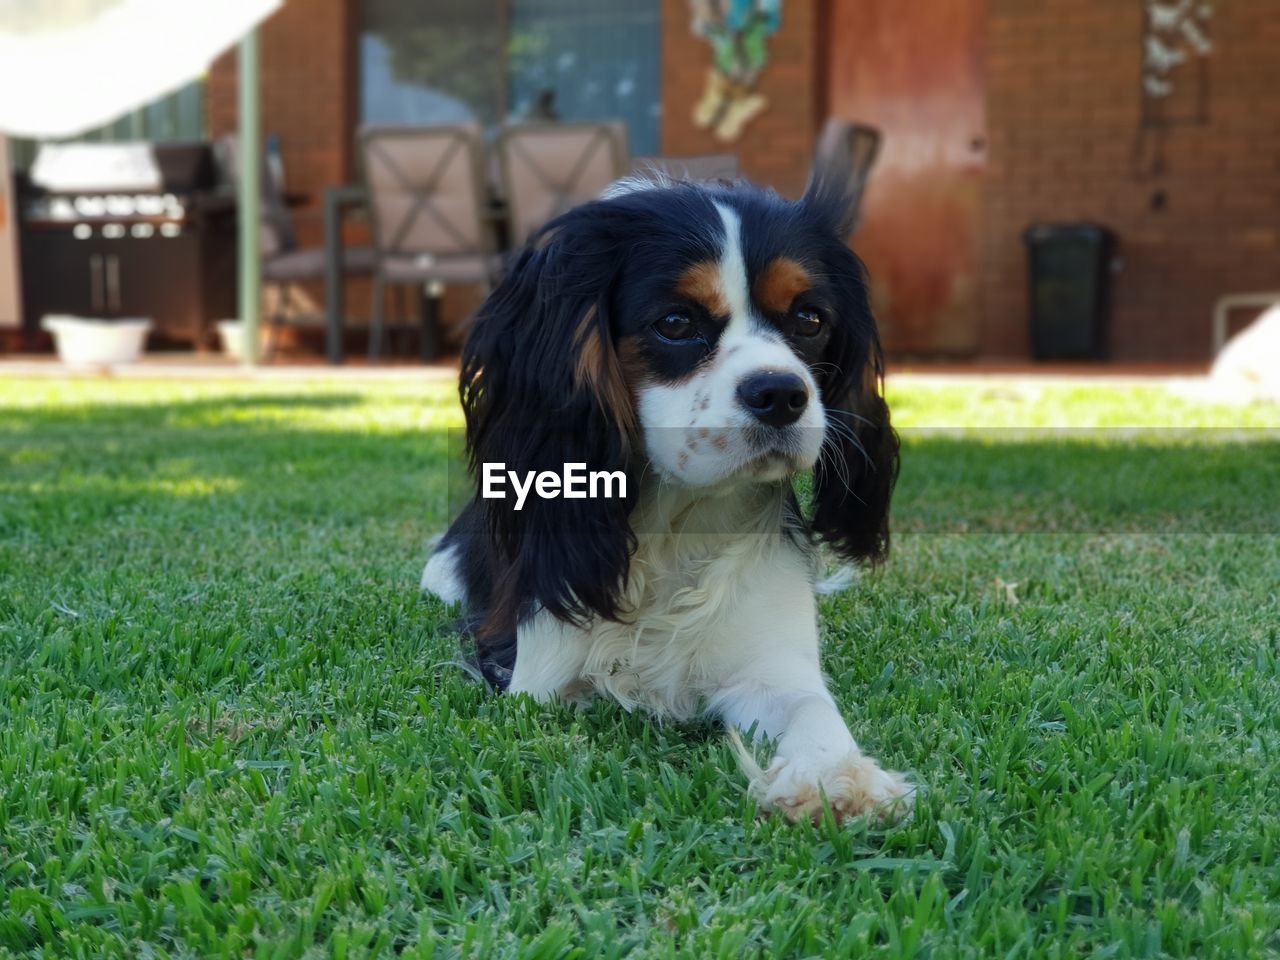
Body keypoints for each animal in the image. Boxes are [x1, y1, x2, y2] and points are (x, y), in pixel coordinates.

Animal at [422, 171, 911, 819]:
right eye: (676, 323)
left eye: (809, 319)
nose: (782, 393)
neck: (678, 518)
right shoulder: (538, 682)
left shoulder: (773, 666)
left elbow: (810, 706)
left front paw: (832, 774)